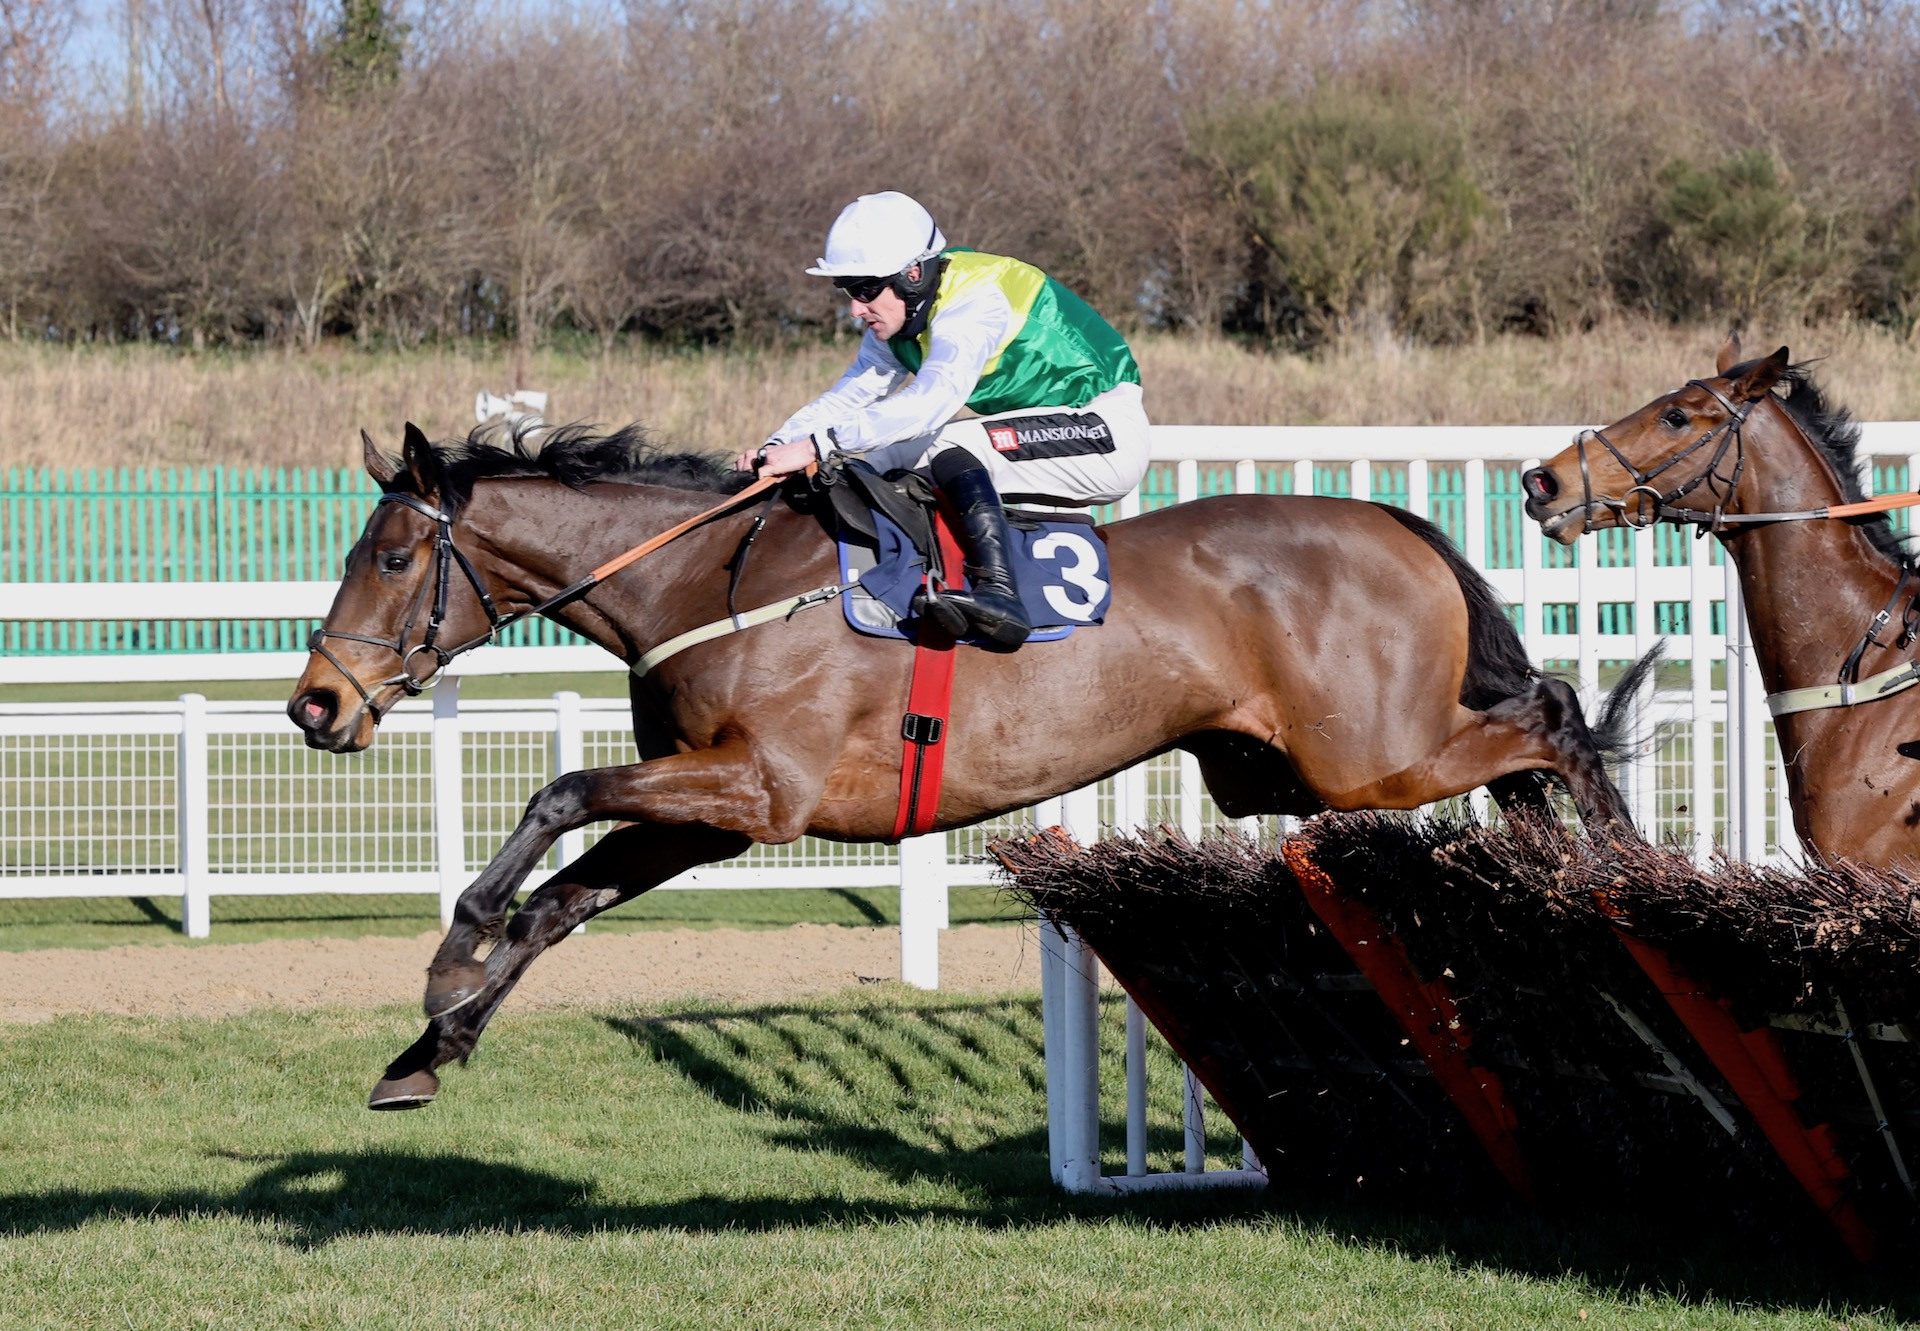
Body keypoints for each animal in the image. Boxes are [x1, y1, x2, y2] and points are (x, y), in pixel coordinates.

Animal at [291, 420, 1643, 1106]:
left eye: (394, 557)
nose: (315, 704)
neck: (704, 581)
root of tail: (1396, 520)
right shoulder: (709, 809)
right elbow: (562, 902)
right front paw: (434, 1043)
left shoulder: (761, 790)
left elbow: (554, 795)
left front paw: (452, 952)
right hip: (1283, 769)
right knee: (1525, 748)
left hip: (1370, 756)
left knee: (1555, 713)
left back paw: (1621, 864)